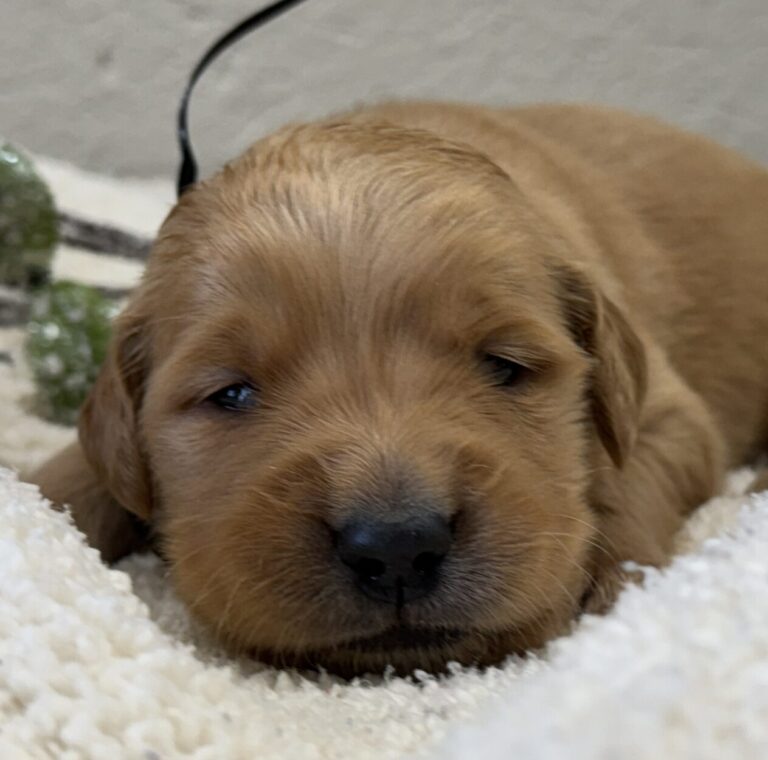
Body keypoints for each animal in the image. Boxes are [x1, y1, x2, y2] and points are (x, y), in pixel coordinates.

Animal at [33, 102, 768, 676]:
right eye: (232, 394)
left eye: (505, 366)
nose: (396, 548)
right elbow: (82, 472)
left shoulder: (669, 411)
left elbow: (625, 482)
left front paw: (611, 588)